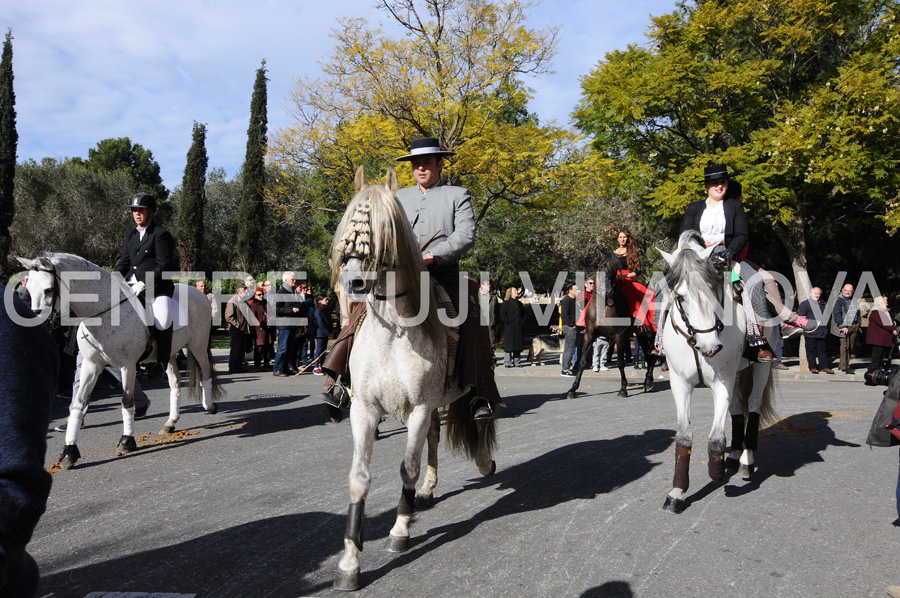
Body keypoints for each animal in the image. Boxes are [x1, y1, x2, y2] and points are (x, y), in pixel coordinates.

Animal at [17, 253, 221, 468]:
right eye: (28, 289)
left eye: (48, 289)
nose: (38, 325)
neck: (104, 315)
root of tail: (199, 293)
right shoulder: (91, 365)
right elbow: (78, 403)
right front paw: (69, 451)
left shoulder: (128, 366)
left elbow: (126, 401)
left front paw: (127, 440)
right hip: (171, 353)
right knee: (175, 384)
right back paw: (170, 423)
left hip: (198, 345)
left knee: (206, 373)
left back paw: (209, 406)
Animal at [656, 231, 776, 516]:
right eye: (680, 297)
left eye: (714, 290)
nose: (710, 347)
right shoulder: (680, 385)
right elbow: (683, 437)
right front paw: (677, 492)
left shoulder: (723, 382)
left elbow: (716, 438)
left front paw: (716, 470)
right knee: (738, 409)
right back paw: (733, 456)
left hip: (760, 368)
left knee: (753, 405)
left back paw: (745, 459)